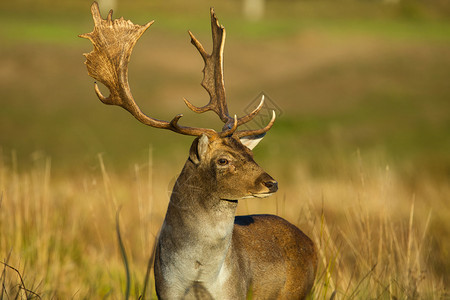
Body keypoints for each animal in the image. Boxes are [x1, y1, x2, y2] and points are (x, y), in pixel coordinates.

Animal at [80, 1, 316, 298]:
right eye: (223, 160)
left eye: (250, 154)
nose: (271, 182)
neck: (197, 276)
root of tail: (312, 244)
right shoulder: (165, 290)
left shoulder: (235, 292)